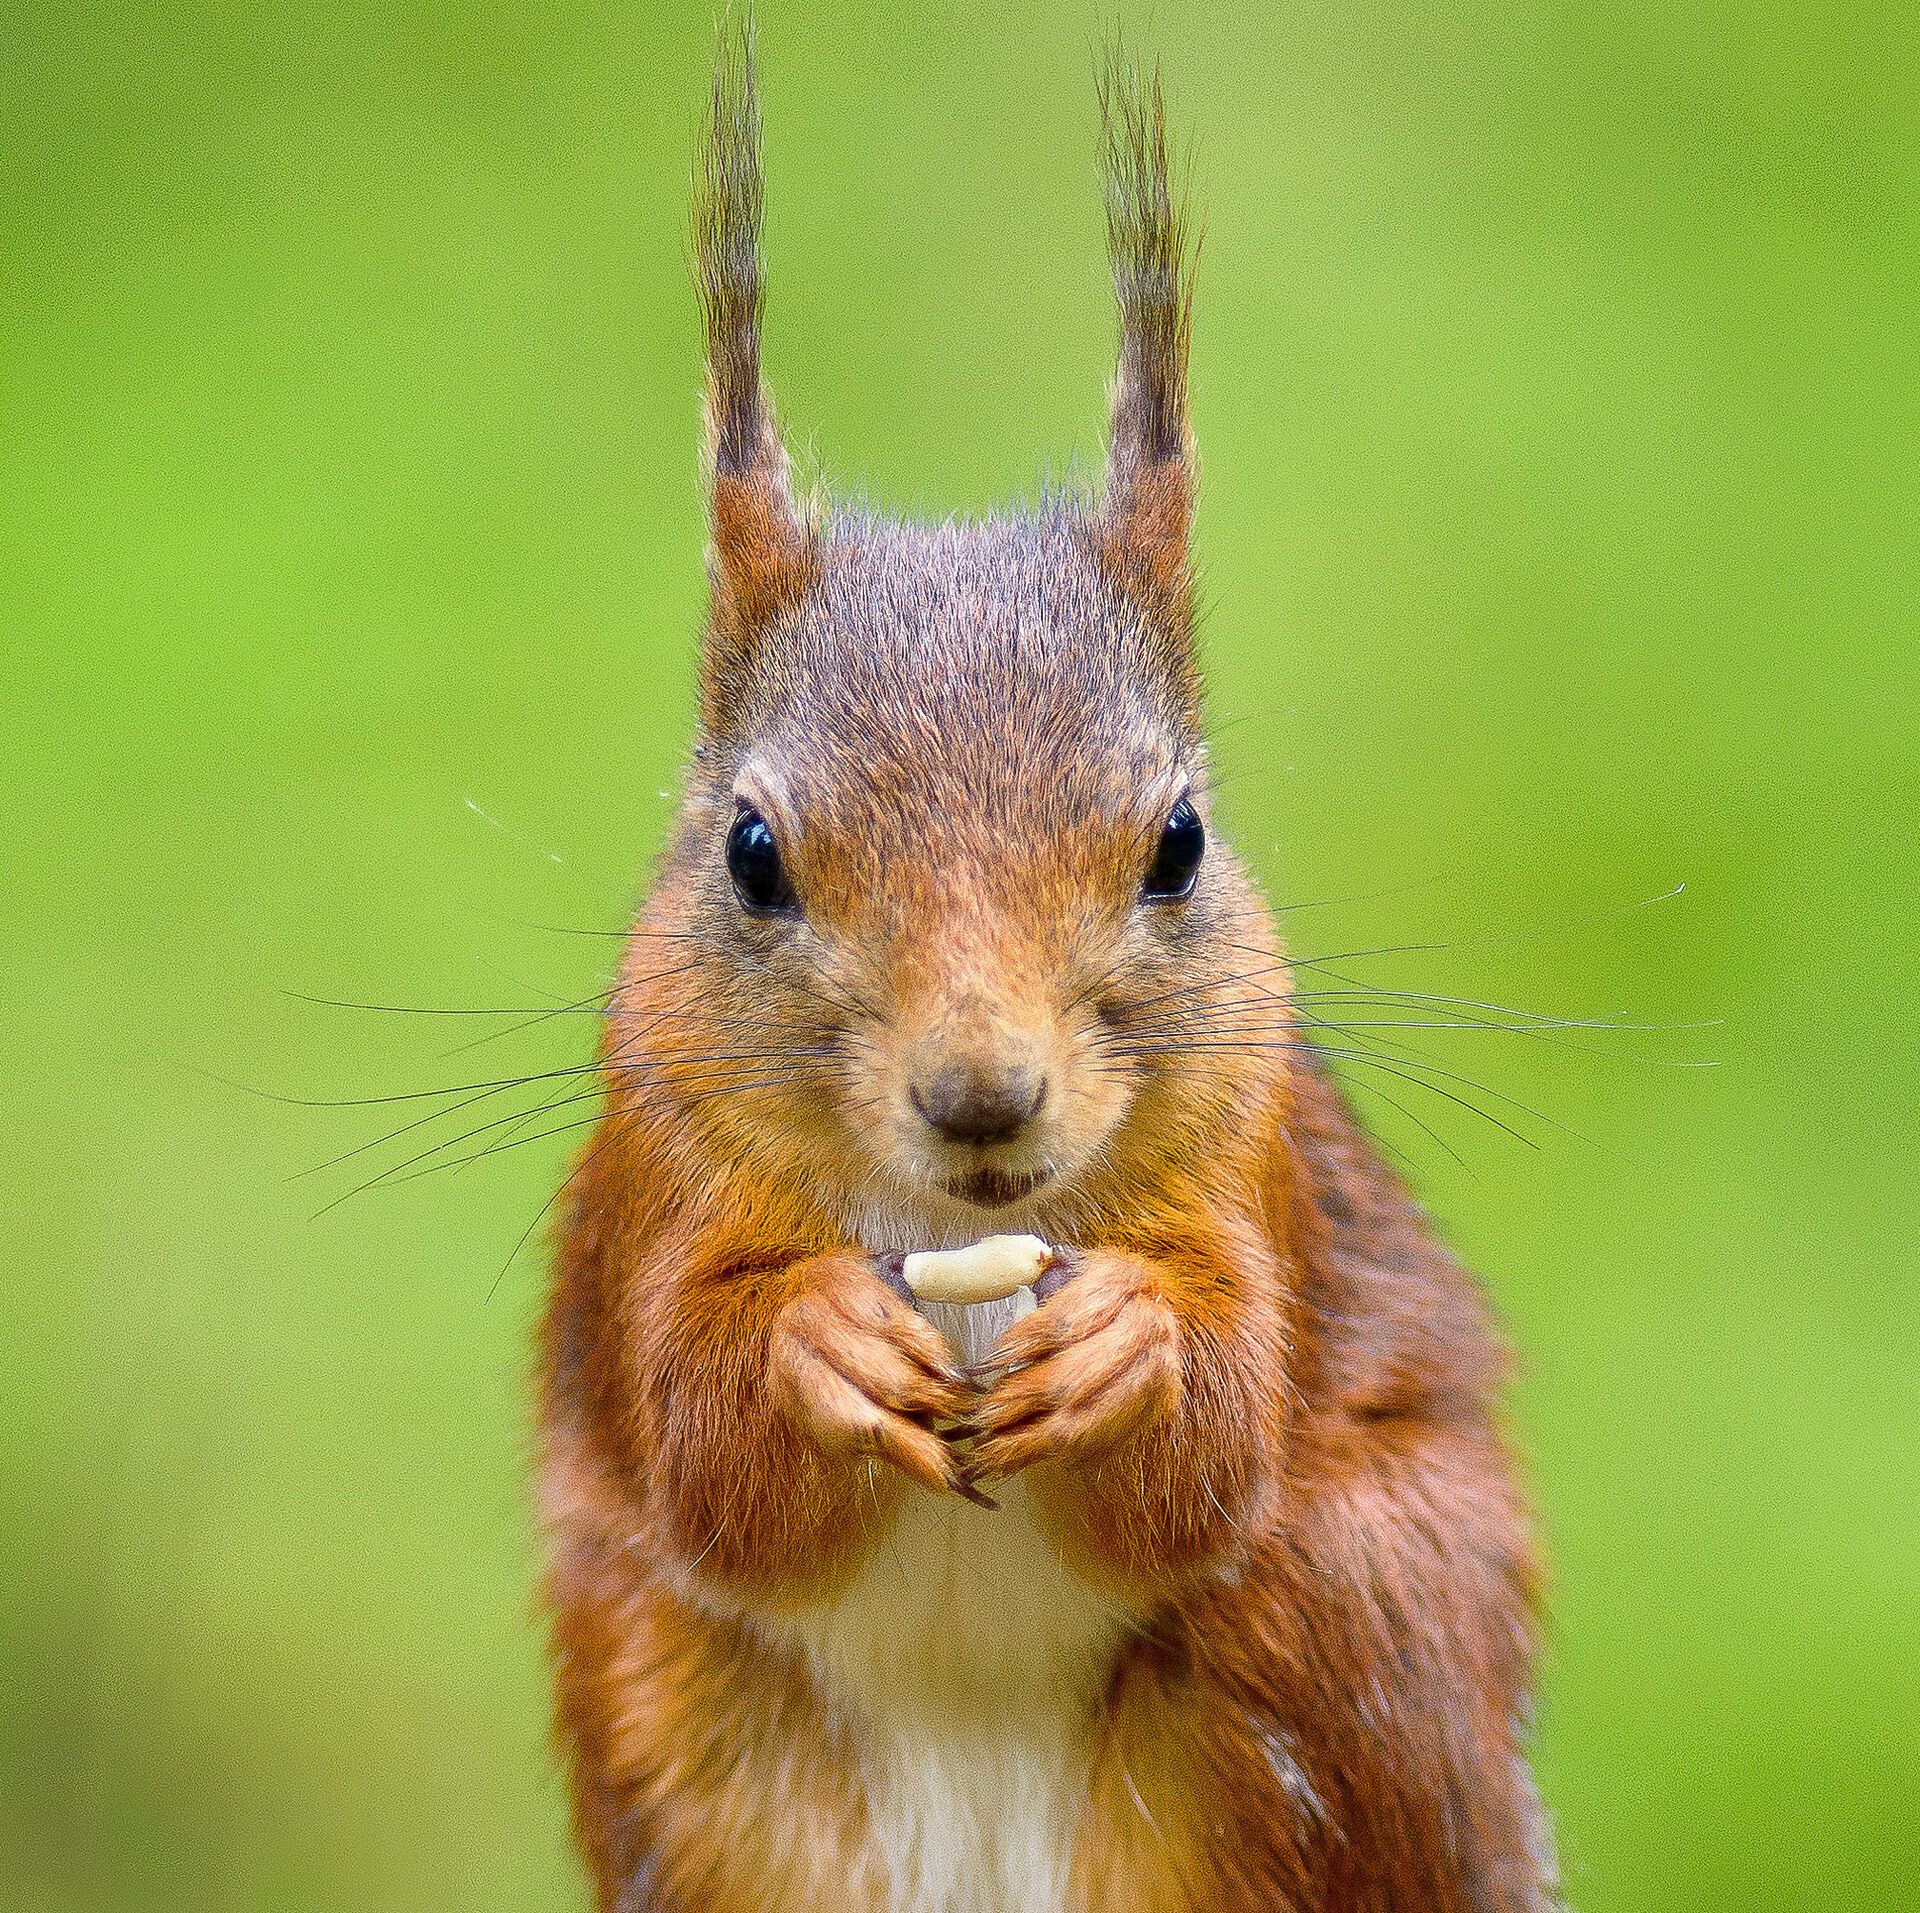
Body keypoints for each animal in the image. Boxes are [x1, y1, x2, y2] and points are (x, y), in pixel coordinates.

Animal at [538, 20, 1556, 1913]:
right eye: (752, 851)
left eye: (1179, 841)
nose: (981, 1096)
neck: (955, 1243)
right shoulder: (654, 1174)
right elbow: (706, 1451)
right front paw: (812, 1344)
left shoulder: (1250, 1161)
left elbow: (1216, 1448)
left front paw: (1132, 1347)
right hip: (669, 1707)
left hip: (1359, 1624)